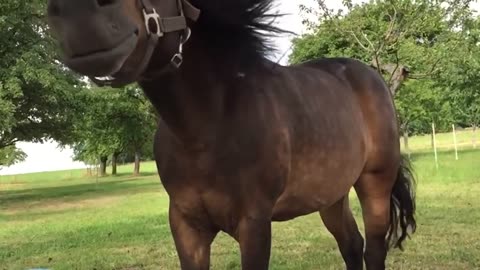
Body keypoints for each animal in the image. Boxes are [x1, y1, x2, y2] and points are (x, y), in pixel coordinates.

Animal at [47, 1, 416, 268]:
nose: (77, 18)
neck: (206, 129)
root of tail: (371, 76)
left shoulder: (253, 225)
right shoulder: (187, 226)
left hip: (374, 184)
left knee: (373, 250)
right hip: (331, 194)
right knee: (351, 245)